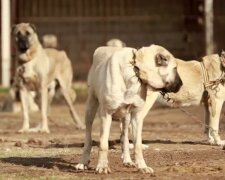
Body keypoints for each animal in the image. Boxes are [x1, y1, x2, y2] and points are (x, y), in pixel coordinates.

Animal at [75, 45, 183, 174]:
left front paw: (142, 166)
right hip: (90, 108)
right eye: (175, 68)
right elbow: (104, 144)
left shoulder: (137, 116)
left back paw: (127, 160)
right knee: (88, 138)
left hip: (126, 116)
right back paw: (83, 162)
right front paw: (102, 166)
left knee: (124, 137)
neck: (135, 70)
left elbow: (137, 145)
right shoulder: (106, 114)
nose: (182, 84)